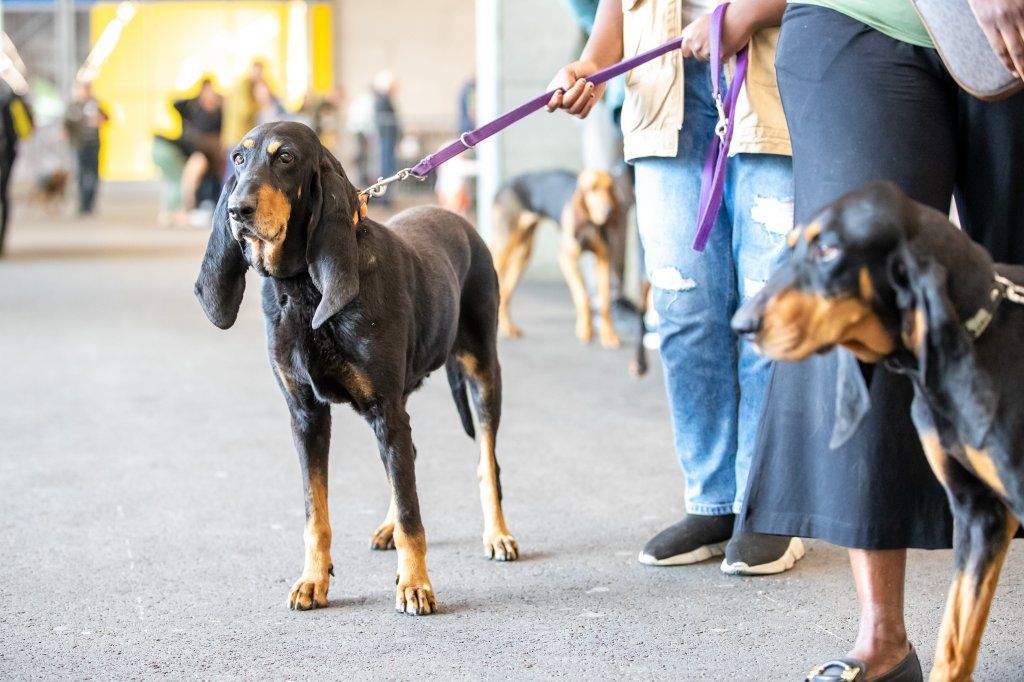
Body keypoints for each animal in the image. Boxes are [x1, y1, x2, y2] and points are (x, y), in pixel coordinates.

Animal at [194, 122, 520, 614]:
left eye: (285, 157)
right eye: (238, 158)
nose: (237, 210)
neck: (304, 290)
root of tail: (462, 223)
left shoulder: (385, 409)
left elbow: (412, 515)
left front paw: (415, 584)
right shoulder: (307, 415)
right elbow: (317, 514)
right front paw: (313, 580)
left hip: (482, 372)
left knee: (486, 462)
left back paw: (497, 535)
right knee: (408, 461)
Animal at [487, 164, 622, 346]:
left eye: (610, 188)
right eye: (592, 188)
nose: (609, 212)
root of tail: (503, 186)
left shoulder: (603, 259)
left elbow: (605, 301)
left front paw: (608, 335)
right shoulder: (566, 258)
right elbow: (582, 296)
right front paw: (585, 330)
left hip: (523, 254)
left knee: (507, 291)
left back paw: (509, 328)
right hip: (505, 246)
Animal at [737, 182, 1024, 679]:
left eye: (829, 250)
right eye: (791, 248)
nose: (741, 324)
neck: (981, 333)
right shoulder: (979, 514)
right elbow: (953, 642)